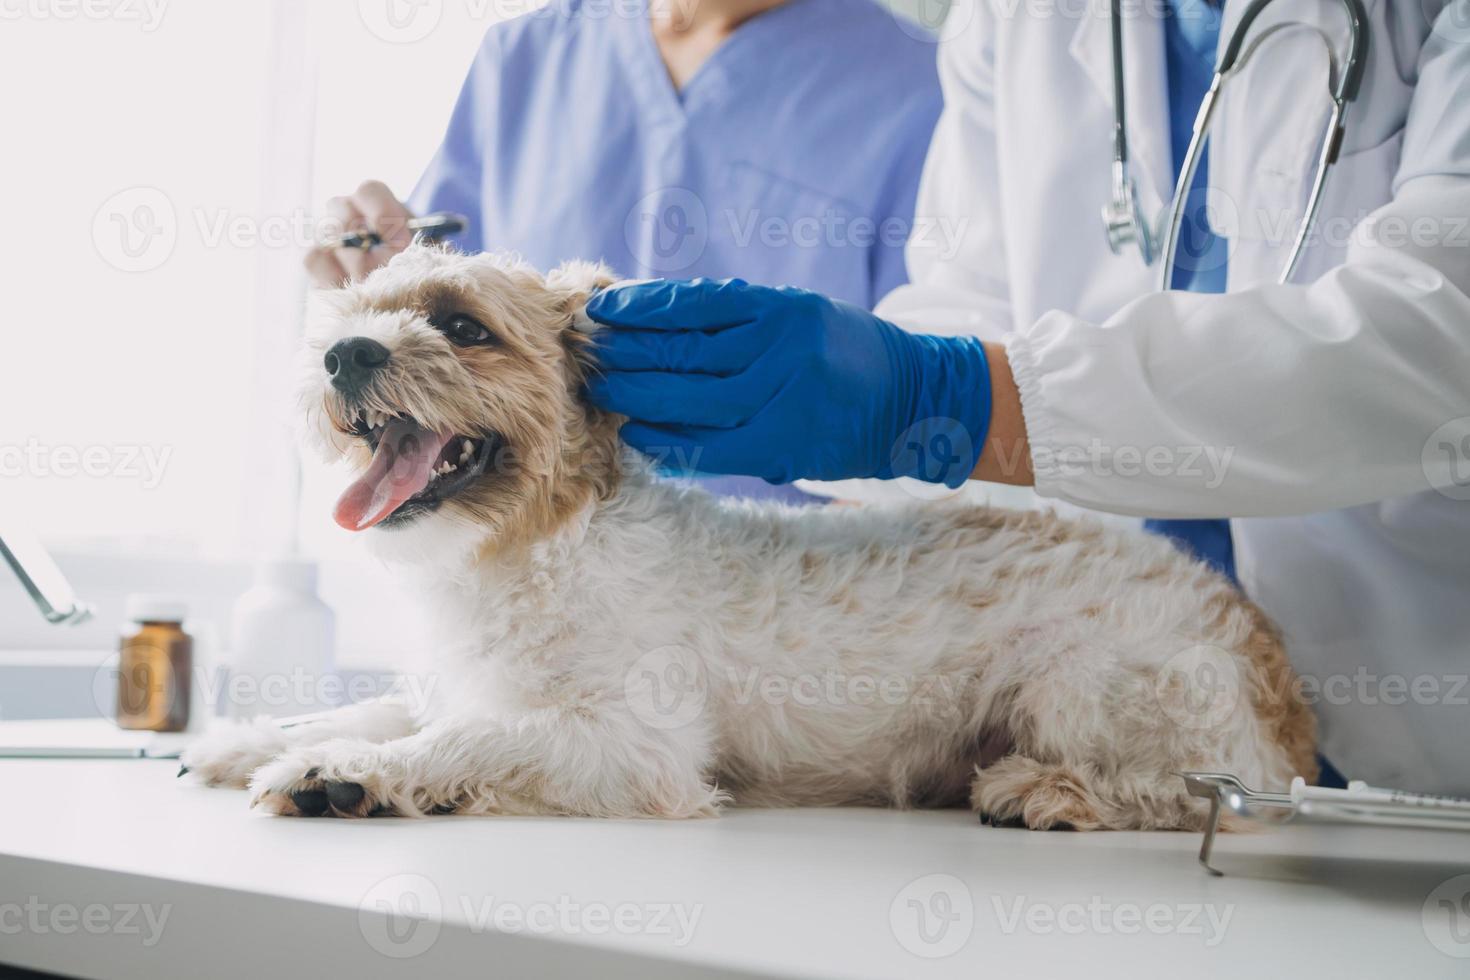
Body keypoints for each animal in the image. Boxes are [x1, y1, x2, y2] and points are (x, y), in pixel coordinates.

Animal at [183, 245, 1323, 828]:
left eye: (463, 326)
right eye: (356, 310)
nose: (341, 355)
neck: (535, 544)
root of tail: (1272, 662)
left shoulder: (633, 745)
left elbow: (467, 738)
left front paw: (349, 772)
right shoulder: (450, 680)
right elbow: (381, 706)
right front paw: (258, 738)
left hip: (1080, 683)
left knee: (1197, 790)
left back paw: (1045, 788)